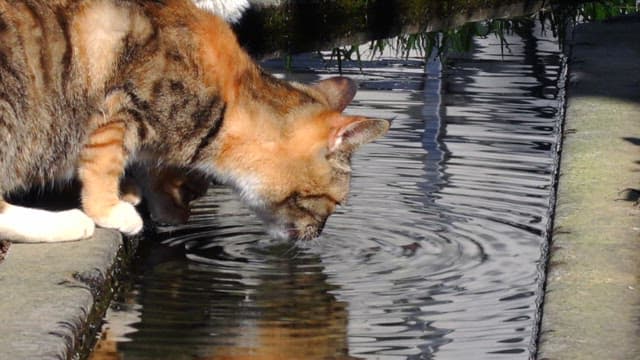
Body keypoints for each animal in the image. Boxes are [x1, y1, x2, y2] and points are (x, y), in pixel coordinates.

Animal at [0, 0, 390, 243]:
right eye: (334, 202)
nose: (319, 235)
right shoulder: (119, 106)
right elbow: (104, 162)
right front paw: (111, 208)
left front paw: (131, 189)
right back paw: (67, 222)